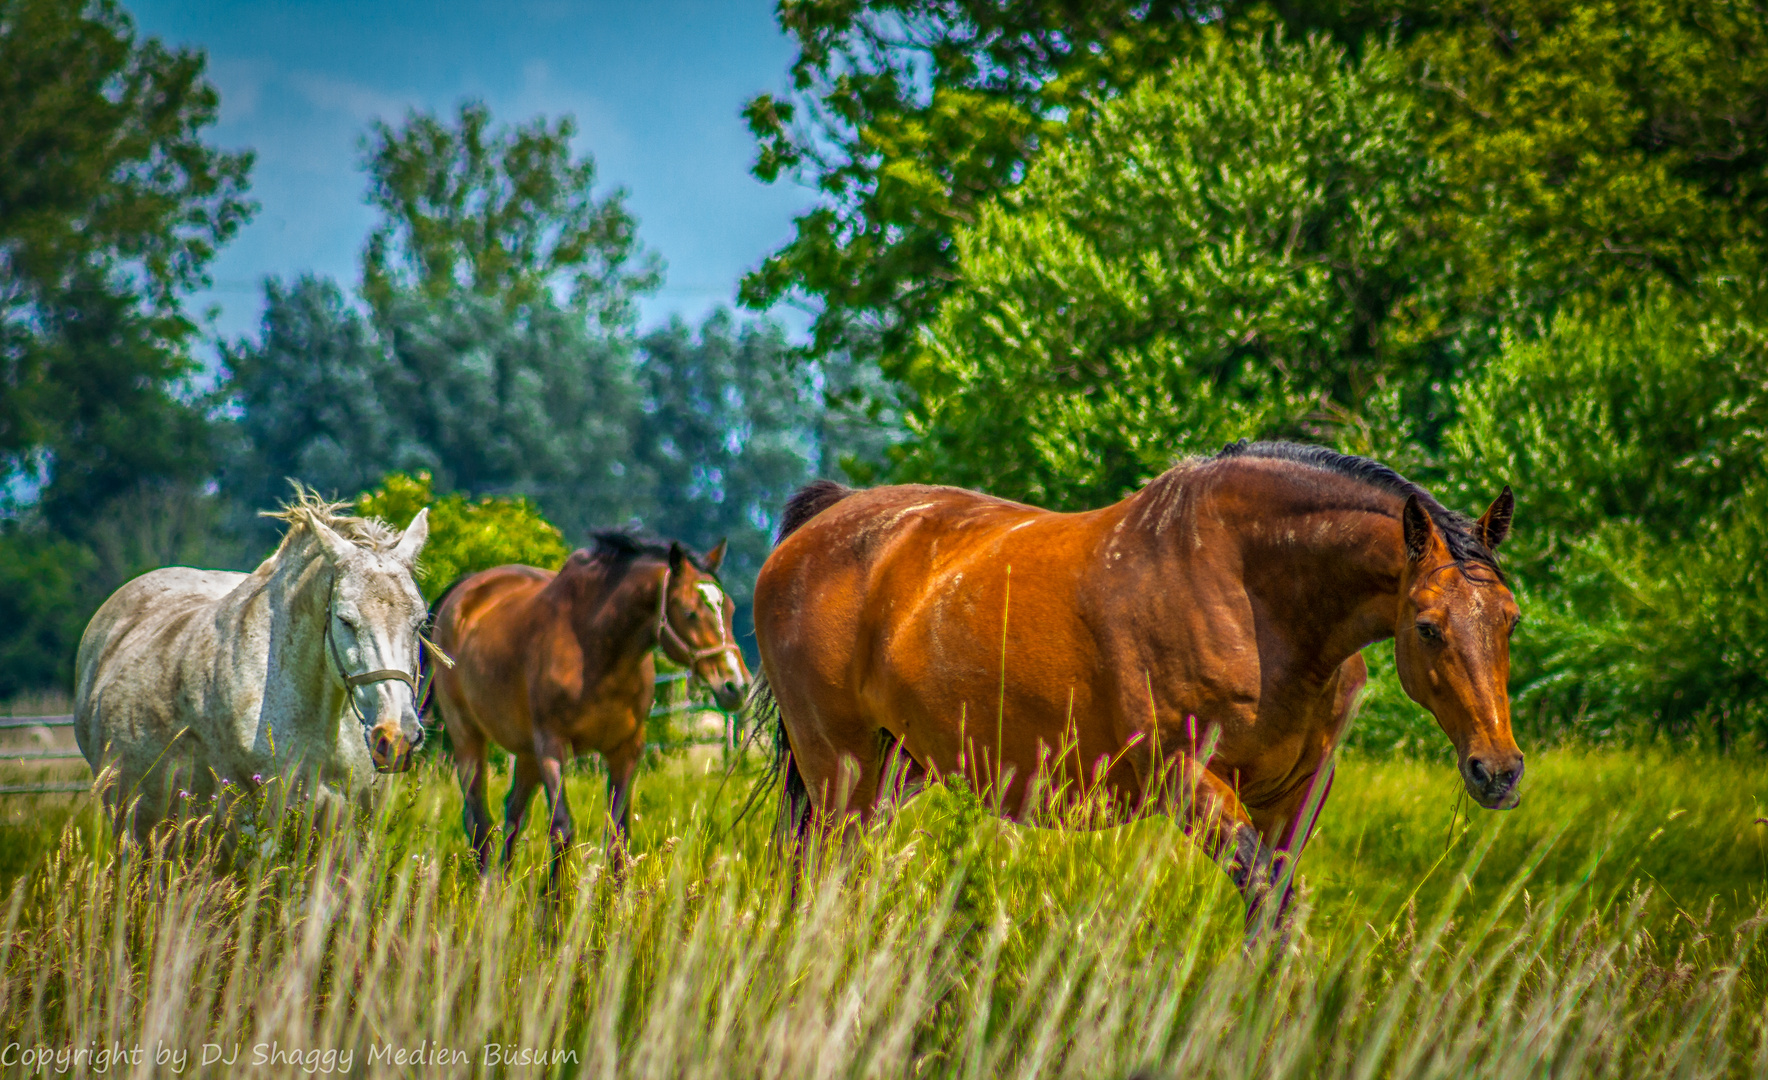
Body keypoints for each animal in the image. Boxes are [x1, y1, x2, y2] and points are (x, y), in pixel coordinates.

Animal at [434, 533, 753, 880]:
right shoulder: (552, 747)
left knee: (512, 815)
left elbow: (618, 836)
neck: (595, 650)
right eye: (689, 611)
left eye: (730, 609)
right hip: (467, 735)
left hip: (526, 753)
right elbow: (562, 829)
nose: (735, 685)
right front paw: (554, 898)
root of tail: (462, 594)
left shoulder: (626, 750)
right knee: (478, 820)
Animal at [746, 441, 1520, 926]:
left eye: (1510, 618)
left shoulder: (1297, 794)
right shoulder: (1189, 781)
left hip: (898, 767)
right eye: (1428, 626)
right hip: (839, 767)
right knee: (821, 871)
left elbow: (1274, 909)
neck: (1253, 595)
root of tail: (823, 521)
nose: (1499, 771)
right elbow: (1264, 897)